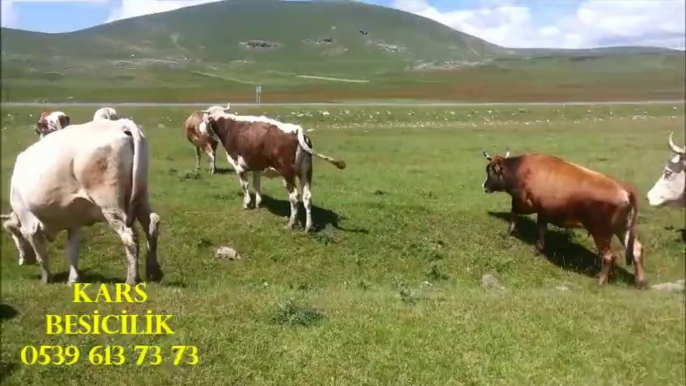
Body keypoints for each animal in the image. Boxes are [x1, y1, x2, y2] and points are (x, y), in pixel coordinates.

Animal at [1, 119, 163, 284]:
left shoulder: (30, 224)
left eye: (14, 233)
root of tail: (119, 124)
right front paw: (72, 280)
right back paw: (153, 273)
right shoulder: (73, 222)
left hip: (110, 205)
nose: (22, 261)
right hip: (140, 196)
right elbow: (72, 252)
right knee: (151, 223)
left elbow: (42, 257)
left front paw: (46, 280)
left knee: (129, 236)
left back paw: (131, 280)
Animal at [200, 108, 350, 232]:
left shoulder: (239, 166)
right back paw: (308, 227)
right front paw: (259, 203)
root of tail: (296, 130)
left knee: (294, 197)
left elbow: (245, 186)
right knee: (307, 197)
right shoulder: (256, 167)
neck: (230, 127)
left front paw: (246, 203)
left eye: (205, 119)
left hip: (288, 174)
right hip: (306, 172)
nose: (200, 129)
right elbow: (256, 184)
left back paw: (291, 223)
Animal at [482, 149, 648, 288]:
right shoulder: (544, 211)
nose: (484, 186)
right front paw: (537, 249)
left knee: (609, 256)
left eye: (489, 170)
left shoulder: (523, 201)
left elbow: (514, 211)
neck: (520, 169)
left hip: (601, 232)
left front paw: (510, 231)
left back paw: (601, 280)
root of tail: (624, 190)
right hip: (623, 229)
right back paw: (639, 280)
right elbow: (541, 230)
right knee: (636, 249)